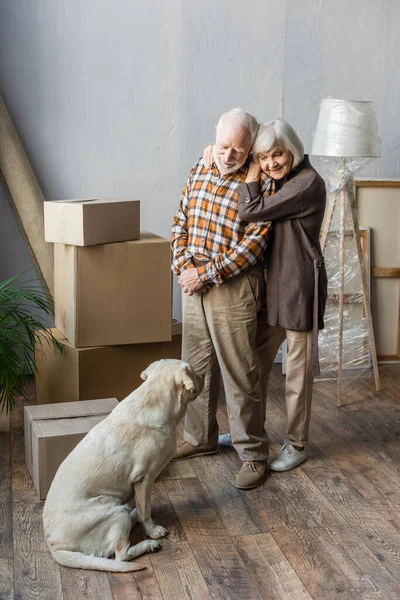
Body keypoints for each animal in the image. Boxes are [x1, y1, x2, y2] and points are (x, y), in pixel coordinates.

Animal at [43, 360, 203, 572]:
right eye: (193, 371)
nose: (204, 375)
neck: (153, 399)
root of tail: (55, 547)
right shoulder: (144, 478)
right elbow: (146, 511)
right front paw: (152, 530)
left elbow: (142, 506)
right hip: (114, 513)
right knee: (121, 555)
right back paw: (148, 543)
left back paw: (132, 514)